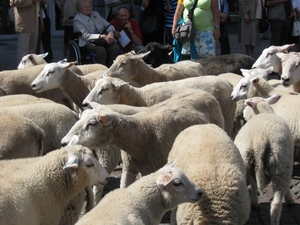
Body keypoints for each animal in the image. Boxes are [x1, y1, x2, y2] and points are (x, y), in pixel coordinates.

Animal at [234, 93, 292, 225]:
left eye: (246, 105)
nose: (243, 114)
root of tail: (261, 138)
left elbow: (253, 183)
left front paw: (254, 202)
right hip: (283, 165)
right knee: (276, 203)